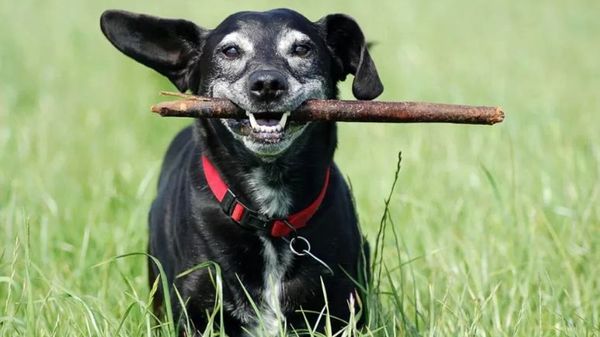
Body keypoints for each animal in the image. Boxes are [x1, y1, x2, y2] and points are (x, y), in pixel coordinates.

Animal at [98, 8, 380, 336]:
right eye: (230, 51)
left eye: (302, 48)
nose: (267, 84)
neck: (269, 218)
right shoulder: (194, 311)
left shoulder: (341, 307)